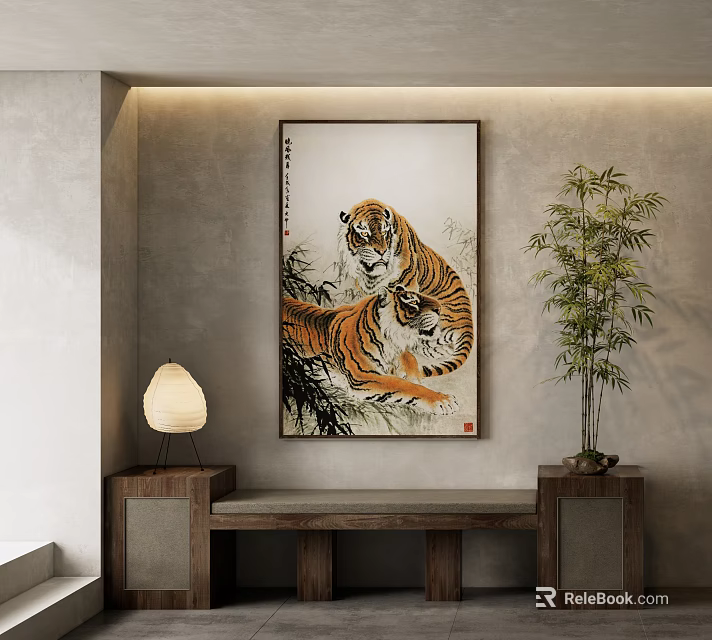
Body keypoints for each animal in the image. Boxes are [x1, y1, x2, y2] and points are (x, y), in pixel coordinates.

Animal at [282, 285, 459, 415]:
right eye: (412, 301)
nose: (440, 308)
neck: (391, 340)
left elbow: (410, 360)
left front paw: (412, 375)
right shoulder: (364, 376)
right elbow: (404, 385)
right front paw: (443, 400)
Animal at [338, 198, 473, 377]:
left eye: (384, 231)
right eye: (364, 233)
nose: (381, 252)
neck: (372, 276)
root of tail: (468, 325)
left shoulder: (406, 285)